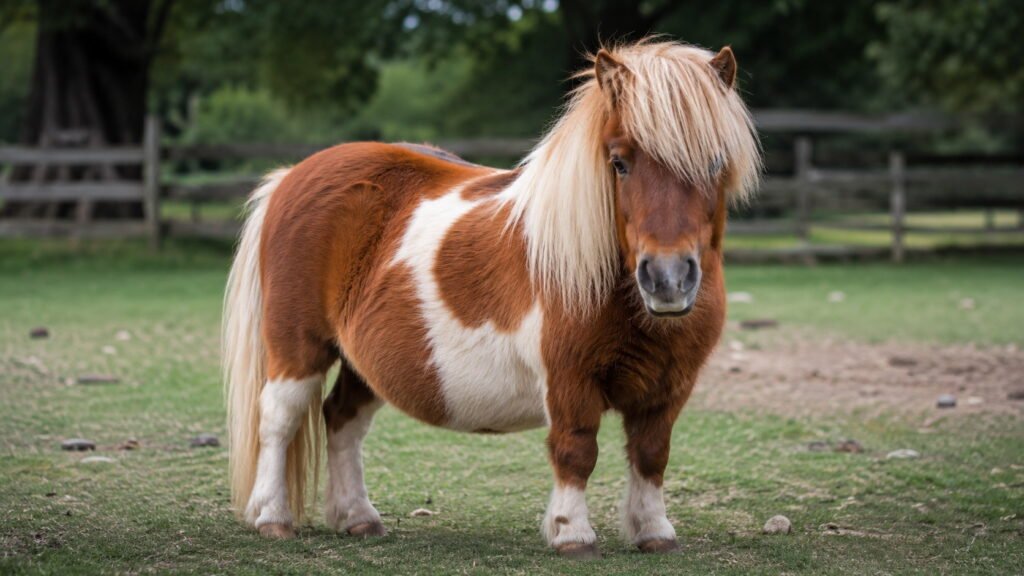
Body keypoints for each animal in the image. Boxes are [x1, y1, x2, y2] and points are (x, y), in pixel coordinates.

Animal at [223, 39, 761, 558]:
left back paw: (357, 518)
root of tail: (293, 175)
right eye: (619, 162)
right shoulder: (569, 382)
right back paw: (272, 517)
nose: (667, 278)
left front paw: (654, 532)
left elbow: (651, 455)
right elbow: (576, 451)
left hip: (364, 362)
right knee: (280, 419)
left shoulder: (668, 387)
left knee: (342, 420)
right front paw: (572, 535)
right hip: (298, 347)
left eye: (715, 163)